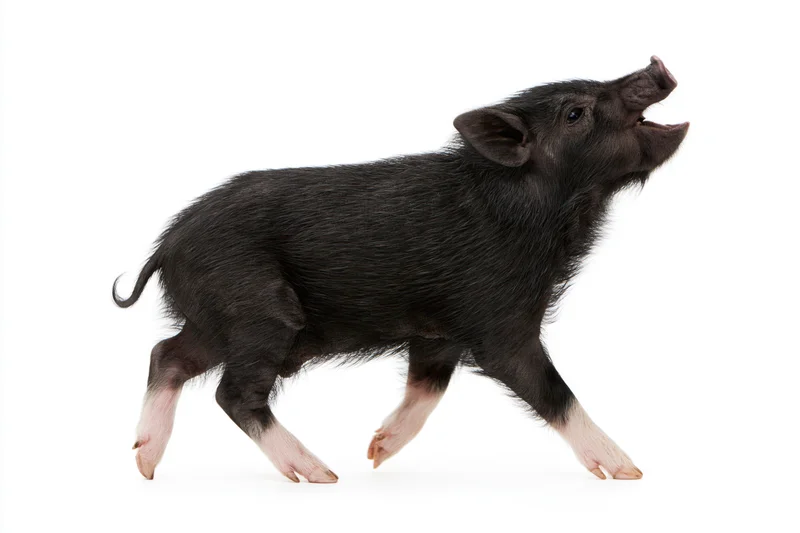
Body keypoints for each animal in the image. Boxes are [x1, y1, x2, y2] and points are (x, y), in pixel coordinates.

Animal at [114, 56, 688, 483]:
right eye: (575, 113)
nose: (657, 63)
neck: (539, 212)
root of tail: (167, 245)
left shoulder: (439, 332)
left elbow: (428, 385)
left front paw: (377, 452)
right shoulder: (499, 320)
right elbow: (551, 389)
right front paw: (628, 470)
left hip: (216, 319)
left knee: (166, 354)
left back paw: (146, 464)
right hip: (260, 309)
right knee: (230, 393)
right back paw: (321, 474)